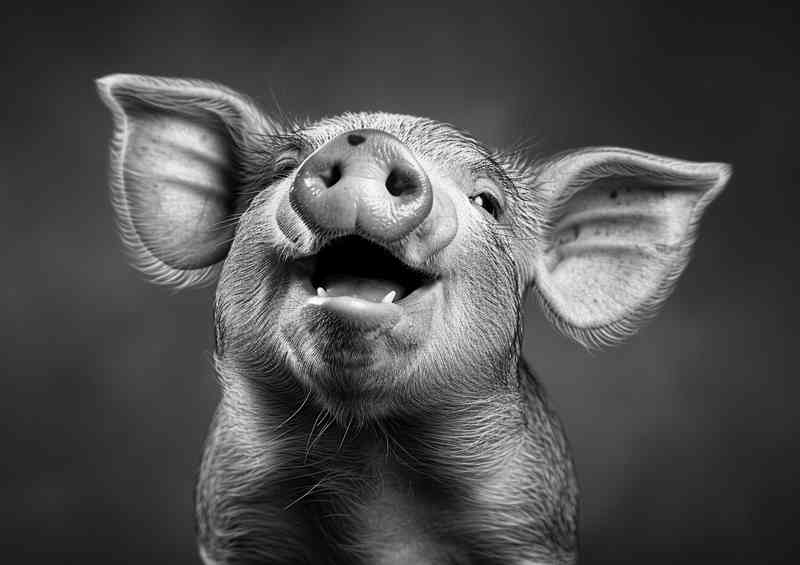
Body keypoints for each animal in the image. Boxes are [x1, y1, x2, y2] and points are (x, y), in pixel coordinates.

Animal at [97, 74, 730, 565]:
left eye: (487, 202)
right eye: (281, 168)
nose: (370, 144)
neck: (363, 454)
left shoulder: (530, 520)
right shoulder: (231, 513)